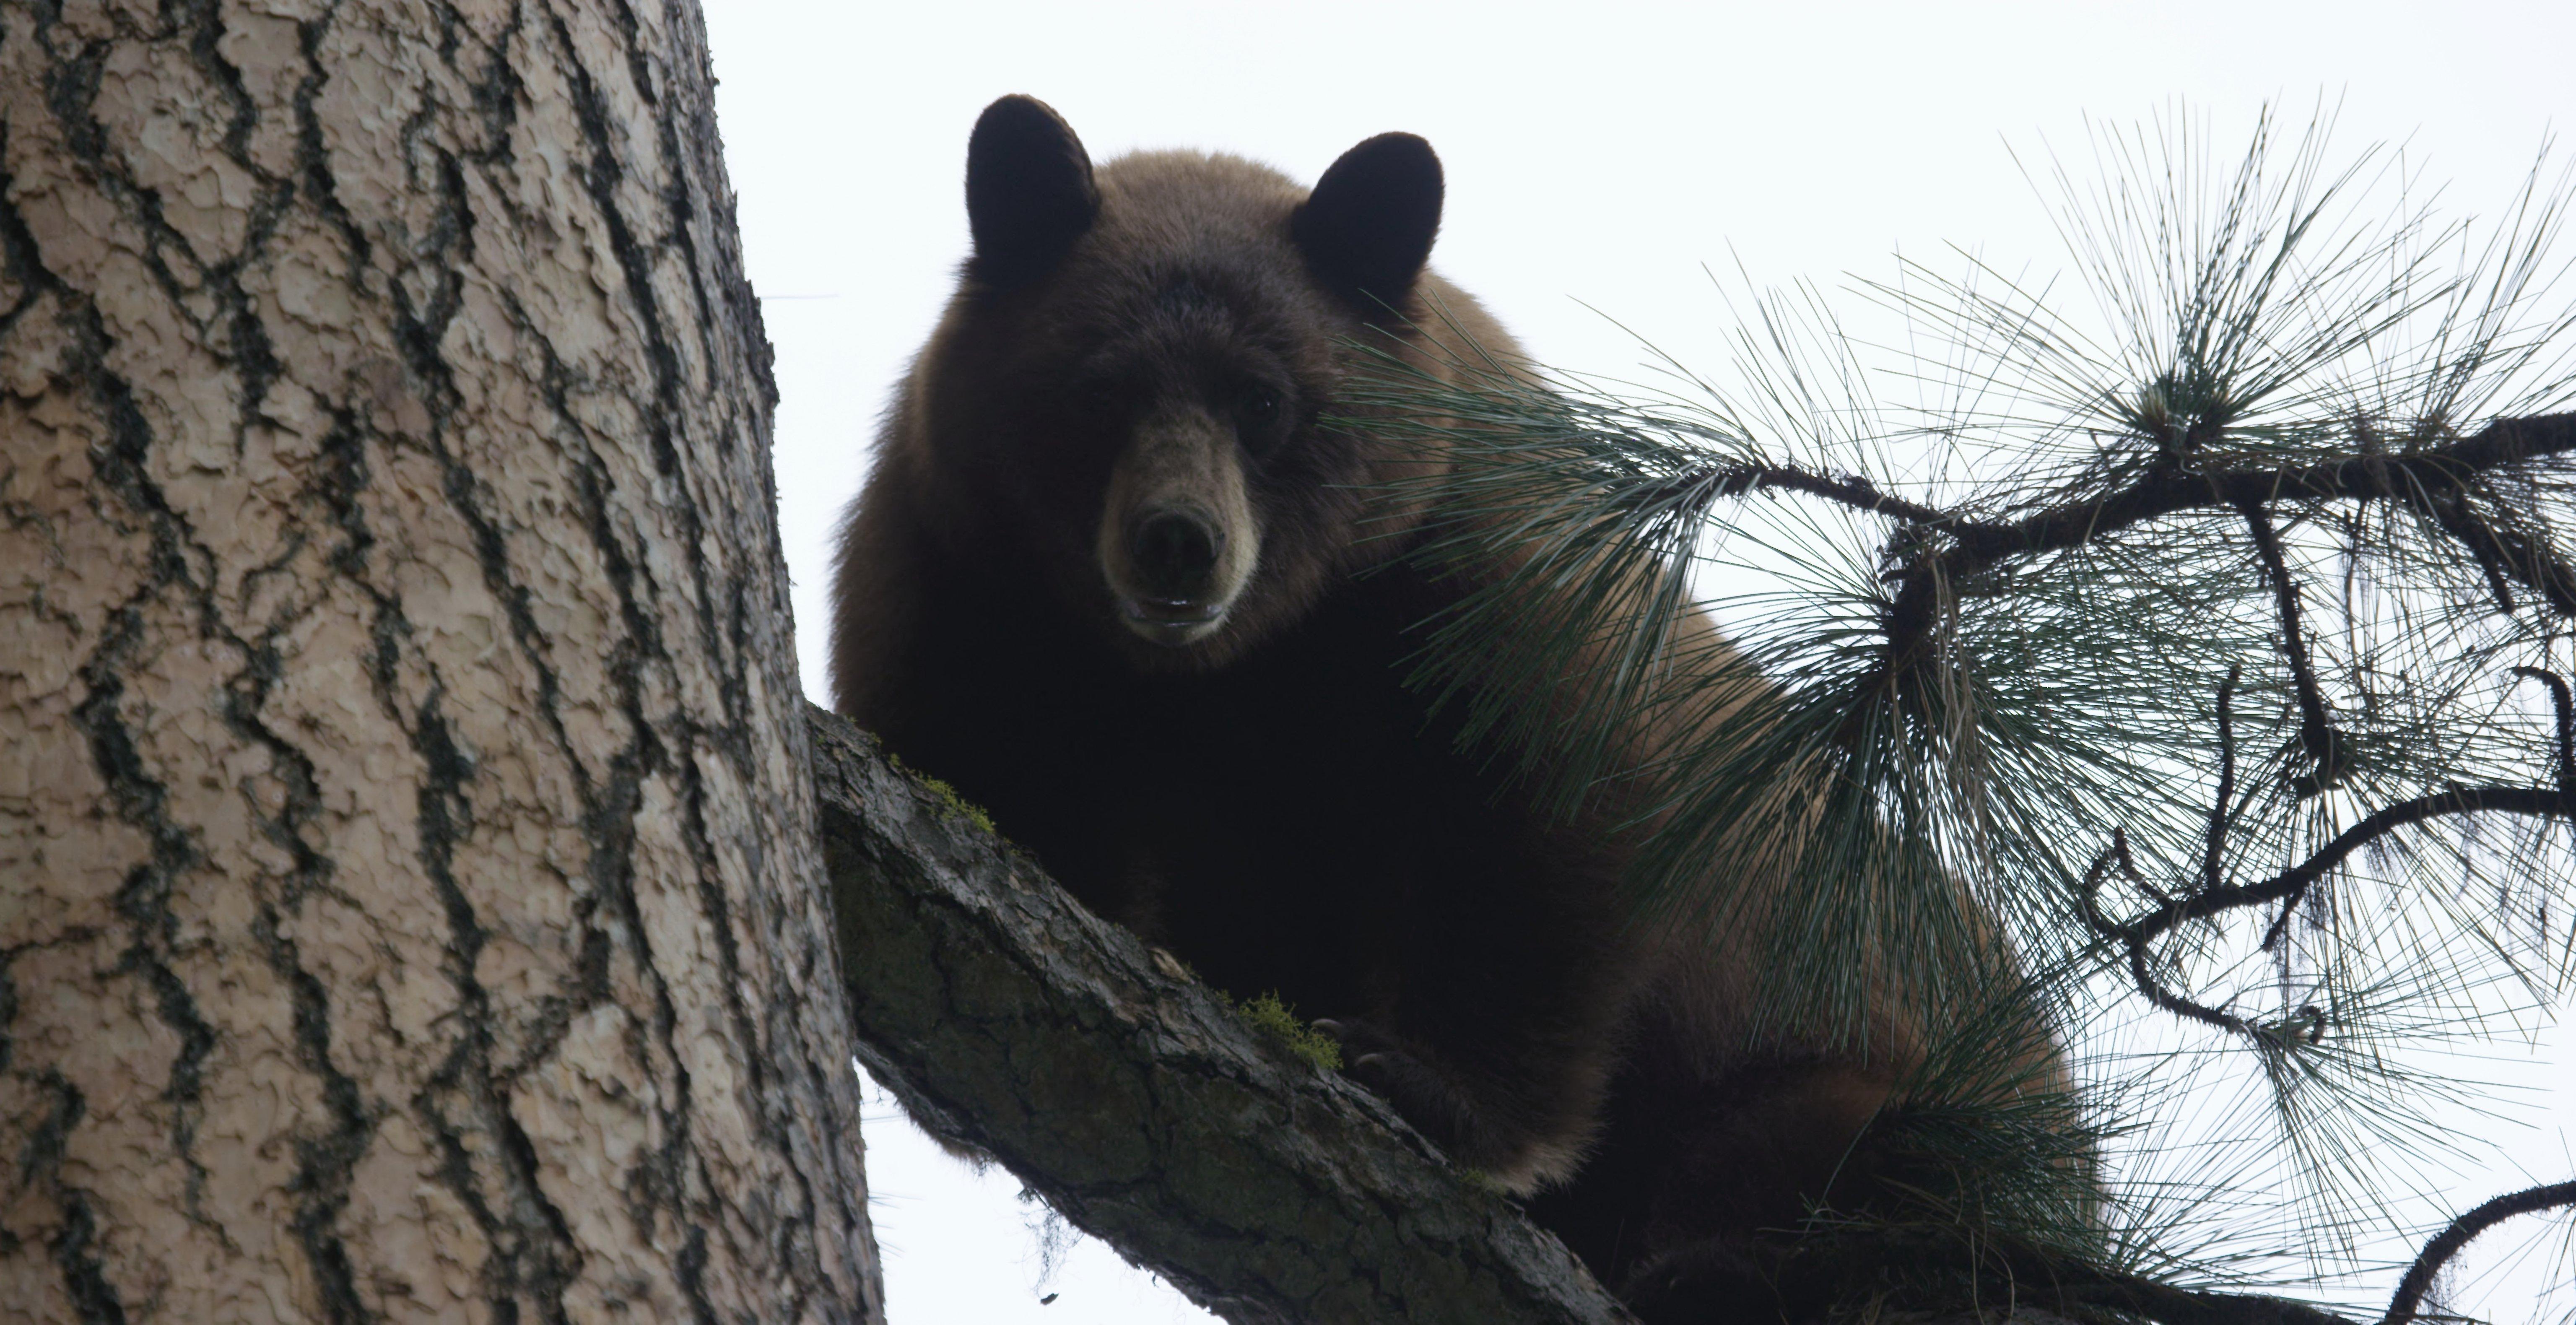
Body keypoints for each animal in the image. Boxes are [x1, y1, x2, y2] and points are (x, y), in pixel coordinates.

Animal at [829, 90, 2050, 1309]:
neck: (1243, 667)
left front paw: (1427, 1083)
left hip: (1903, 1073)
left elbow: (1532, 838)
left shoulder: (1480, 583)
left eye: (1263, 400)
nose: (1179, 543)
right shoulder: (966, 573)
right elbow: (986, 762)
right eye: (1100, 391)